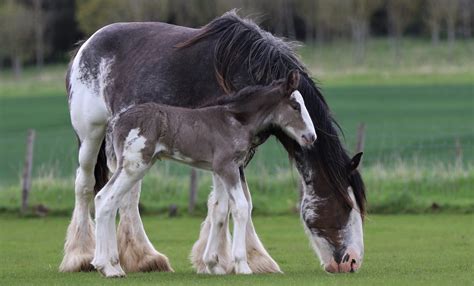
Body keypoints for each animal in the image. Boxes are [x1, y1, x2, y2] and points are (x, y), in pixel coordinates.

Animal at [91, 70, 314, 278]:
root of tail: (117, 121)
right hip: (135, 165)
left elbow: (220, 211)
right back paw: (107, 267)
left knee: (103, 198)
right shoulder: (228, 167)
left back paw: (111, 265)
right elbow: (241, 207)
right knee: (108, 200)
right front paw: (242, 265)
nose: (311, 137)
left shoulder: (219, 170)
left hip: (131, 166)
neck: (235, 120)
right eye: (296, 106)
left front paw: (213, 265)